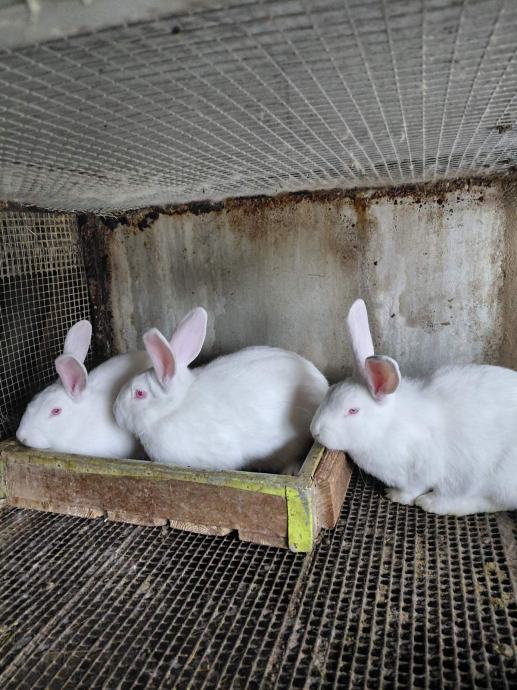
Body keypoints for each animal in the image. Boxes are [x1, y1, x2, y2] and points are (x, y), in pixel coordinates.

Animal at [310, 298, 517, 516]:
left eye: (353, 410)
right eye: (330, 391)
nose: (314, 431)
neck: (385, 427)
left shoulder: (421, 470)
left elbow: (413, 489)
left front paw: (395, 495)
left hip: (496, 479)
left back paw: (432, 503)